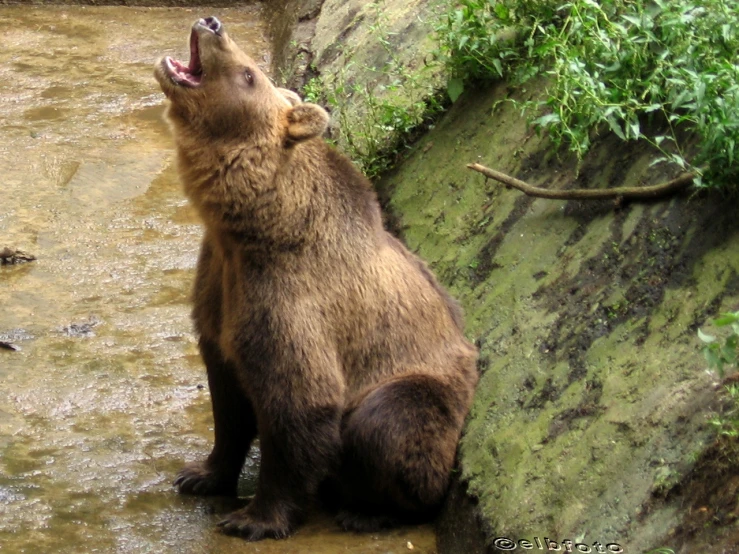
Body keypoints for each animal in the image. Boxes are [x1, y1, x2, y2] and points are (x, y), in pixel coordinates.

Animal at [155, 16, 480, 540]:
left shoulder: (289, 294)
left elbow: (299, 399)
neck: (248, 227)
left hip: (427, 386)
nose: (212, 23)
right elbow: (227, 396)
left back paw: (368, 509)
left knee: (389, 422)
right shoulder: (219, 287)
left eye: (248, 73)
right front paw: (200, 474)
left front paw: (254, 517)